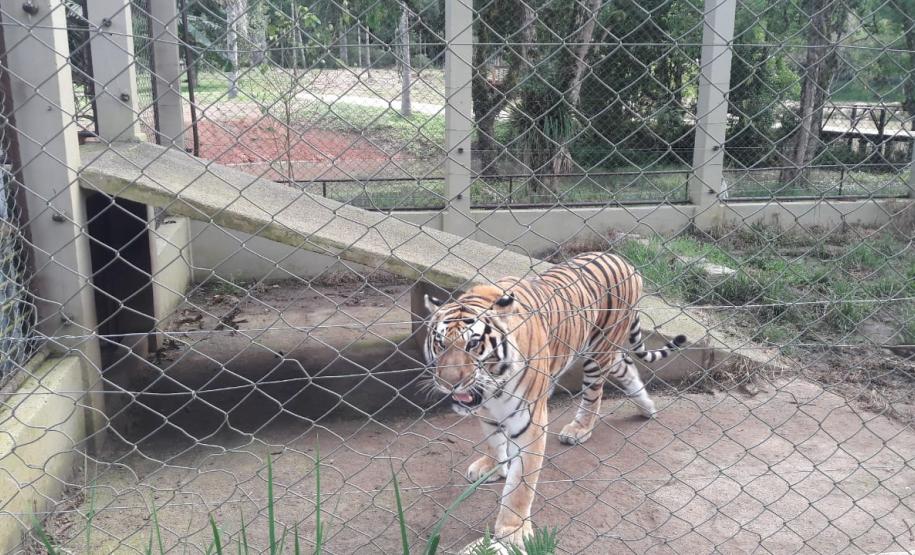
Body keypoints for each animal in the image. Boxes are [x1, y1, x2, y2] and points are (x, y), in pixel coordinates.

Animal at [422, 251, 687, 546]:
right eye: (440, 343)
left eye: (473, 344)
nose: (449, 384)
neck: (493, 387)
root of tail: (623, 260)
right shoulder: (486, 410)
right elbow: (493, 440)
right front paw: (492, 467)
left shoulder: (530, 423)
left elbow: (521, 484)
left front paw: (513, 531)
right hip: (607, 351)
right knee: (626, 366)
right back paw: (647, 408)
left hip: (598, 352)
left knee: (595, 394)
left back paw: (579, 429)